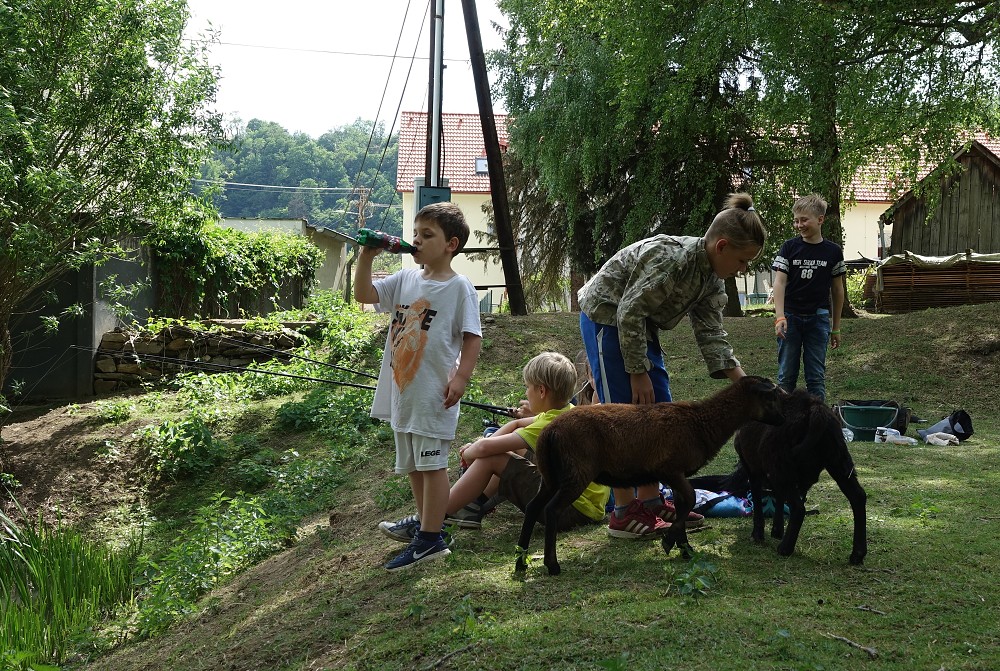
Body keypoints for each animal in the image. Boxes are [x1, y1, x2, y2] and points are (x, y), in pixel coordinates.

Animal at [520, 376, 784, 576]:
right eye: (770, 397)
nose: (783, 419)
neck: (702, 423)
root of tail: (550, 432)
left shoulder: (676, 475)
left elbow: (682, 505)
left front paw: (685, 549)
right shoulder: (671, 469)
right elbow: (689, 499)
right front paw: (670, 542)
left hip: (551, 476)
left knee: (533, 507)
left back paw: (520, 562)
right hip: (576, 474)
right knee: (551, 510)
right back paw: (552, 565)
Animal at [736, 388, 868, 568]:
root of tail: (815, 409)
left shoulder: (752, 468)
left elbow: (757, 499)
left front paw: (758, 534)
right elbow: (779, 498)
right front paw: (777, 530)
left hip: (781, 465)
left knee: (799, 508)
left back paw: (785, 548)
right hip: (839, 461)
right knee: (858, 496)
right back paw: (857, 554)